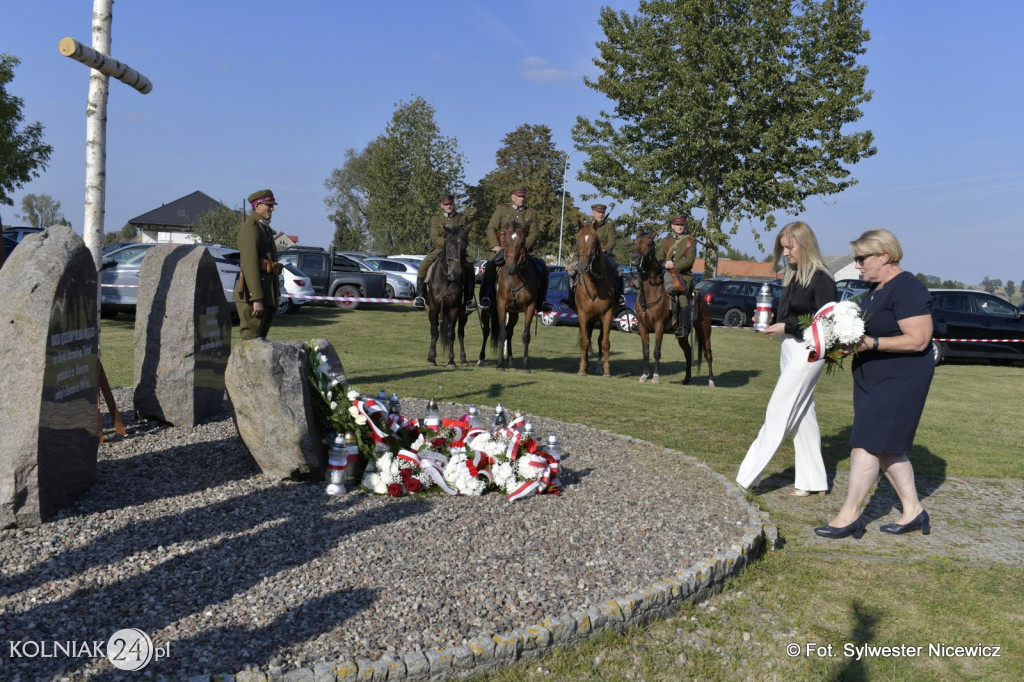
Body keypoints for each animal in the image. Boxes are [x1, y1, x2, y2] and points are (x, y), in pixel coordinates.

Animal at [423, 225, 471, 366]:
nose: (456, 273)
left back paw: (463, 358)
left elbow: (451, 334)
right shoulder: (434, 308)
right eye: (448, 245)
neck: (446, 280)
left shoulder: (454, 309)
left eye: (465, 245)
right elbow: (434, 331)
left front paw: (451, 360)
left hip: (462, 314)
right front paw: (431, 358)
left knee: (460, 333)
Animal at [477, 222, 544, 372]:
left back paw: (511, 359)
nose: (512, 267)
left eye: (522, 242)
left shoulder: (529, 307)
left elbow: (525, 335)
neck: (516, 278)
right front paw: (500, 364)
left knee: (510, 331)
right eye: (506, 241)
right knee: (486, 331)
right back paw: (481, 358)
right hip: (487, 311)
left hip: (514, 314)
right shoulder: (501, 306)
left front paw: (526, 365)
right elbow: (501, 333)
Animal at [626, 232, 716, 382]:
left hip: (705, 332)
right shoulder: (642, 327)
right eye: (635, 242)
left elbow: (656, 352)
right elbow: (646, 352)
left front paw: (655, 377)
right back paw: (686, 379)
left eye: (650, 243)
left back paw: (711, 381)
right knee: (688, 353)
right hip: (683, 337)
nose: (634, 258)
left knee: (708, 354)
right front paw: (644, 375)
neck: (651, 292)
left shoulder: (659, 327)